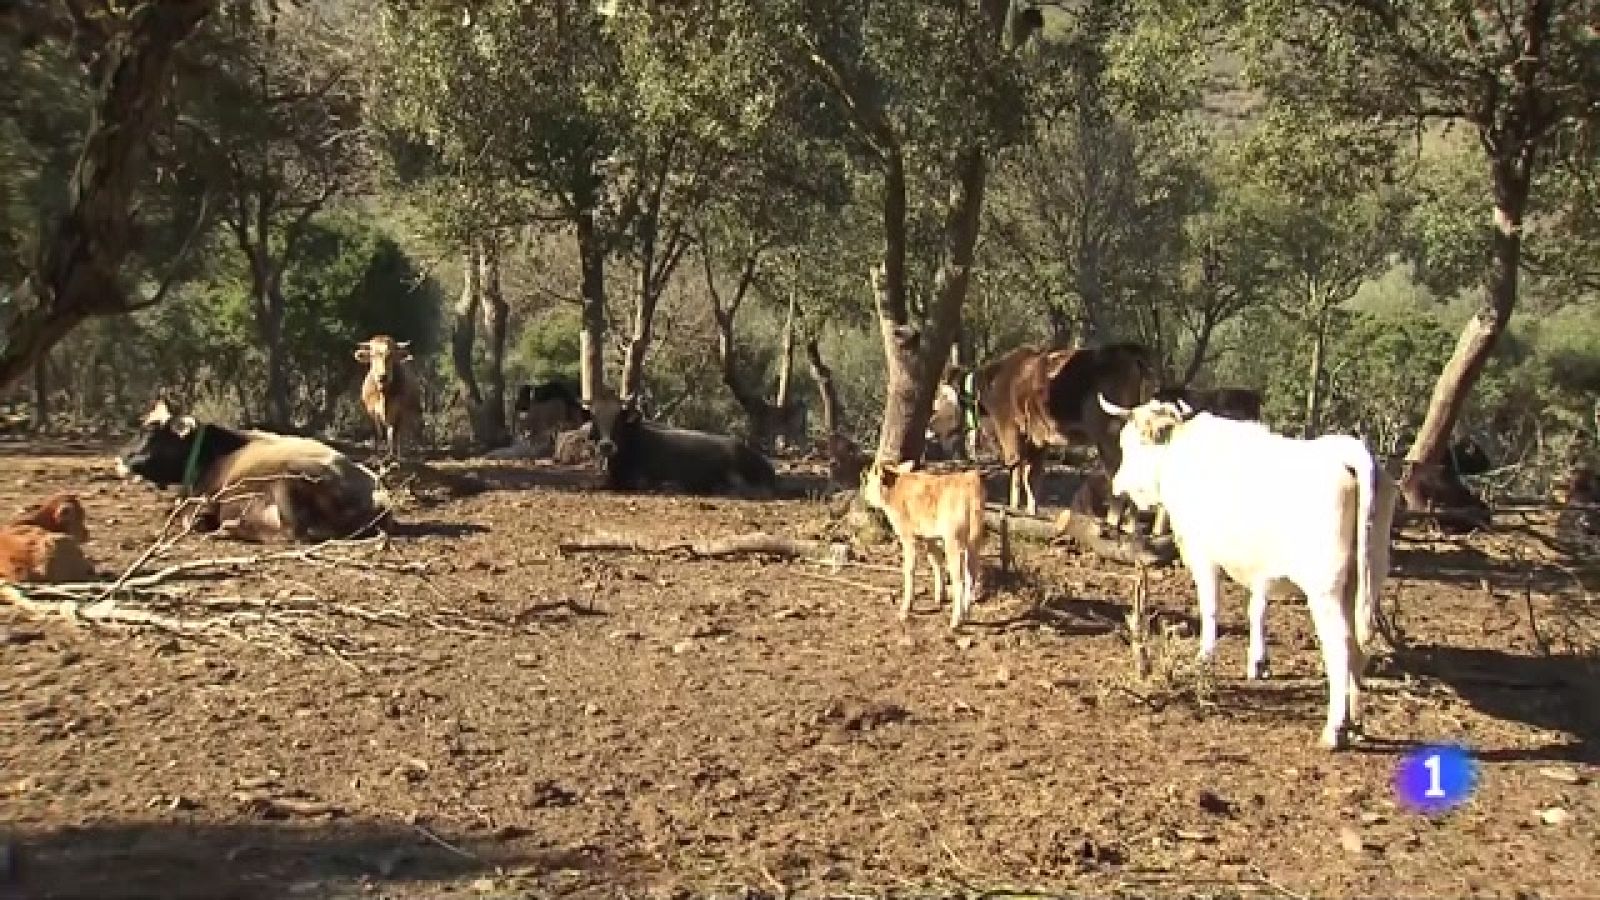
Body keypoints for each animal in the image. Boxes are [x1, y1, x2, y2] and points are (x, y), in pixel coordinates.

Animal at [859, 460, 986, 630]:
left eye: (870, 479)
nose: (865, 496)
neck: (895, 489)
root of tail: (970, 481)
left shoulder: (908, 536)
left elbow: (910, 568)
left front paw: (905, 609)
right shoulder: (929, 538)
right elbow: (936, 561)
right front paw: (939, 597)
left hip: (953, 541)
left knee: (959, 580)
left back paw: (955, 621)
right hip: (973, 542)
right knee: (970, 574)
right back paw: (966, 614)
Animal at [973, 341, 1157, 522]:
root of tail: (1131, 352)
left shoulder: (1011, 432)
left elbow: (1017, 473)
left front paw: (1013, 509)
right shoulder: (1038, 441)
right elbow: (1030, 477)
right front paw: (1031, 512)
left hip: (1109, 439)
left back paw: (1111, 523)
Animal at [1098, 393, 1399, 750]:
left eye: (1130, 443)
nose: (1117, 486)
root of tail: (1345, 452)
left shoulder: (1203, 553)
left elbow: (1211, 608)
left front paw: (1205, 658)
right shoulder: (1259, 567)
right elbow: (1256, 607)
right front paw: (1259, 662)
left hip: (1325, 589)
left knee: (1340, 646)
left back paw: (1334, 730)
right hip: (1366, 578)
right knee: (1357, 648)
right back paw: (1356, 724)